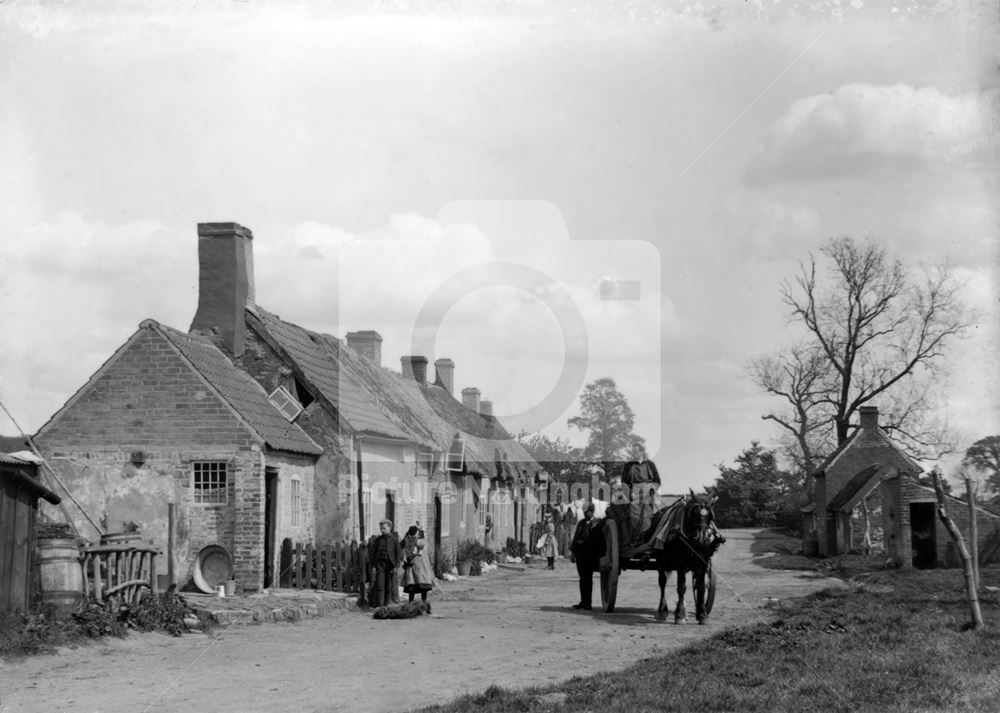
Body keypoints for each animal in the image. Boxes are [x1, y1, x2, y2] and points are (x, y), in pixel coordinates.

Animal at [652, 490, 724, 624]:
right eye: (693, 512)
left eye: (710, 515)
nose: (702, 538)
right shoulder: (680, 562)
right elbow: (681, 587)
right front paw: (679, 615)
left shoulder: (703, 562)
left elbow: (701, 587)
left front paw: (702, 614)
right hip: (661, 561)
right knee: (662, 582)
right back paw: (662, 611)